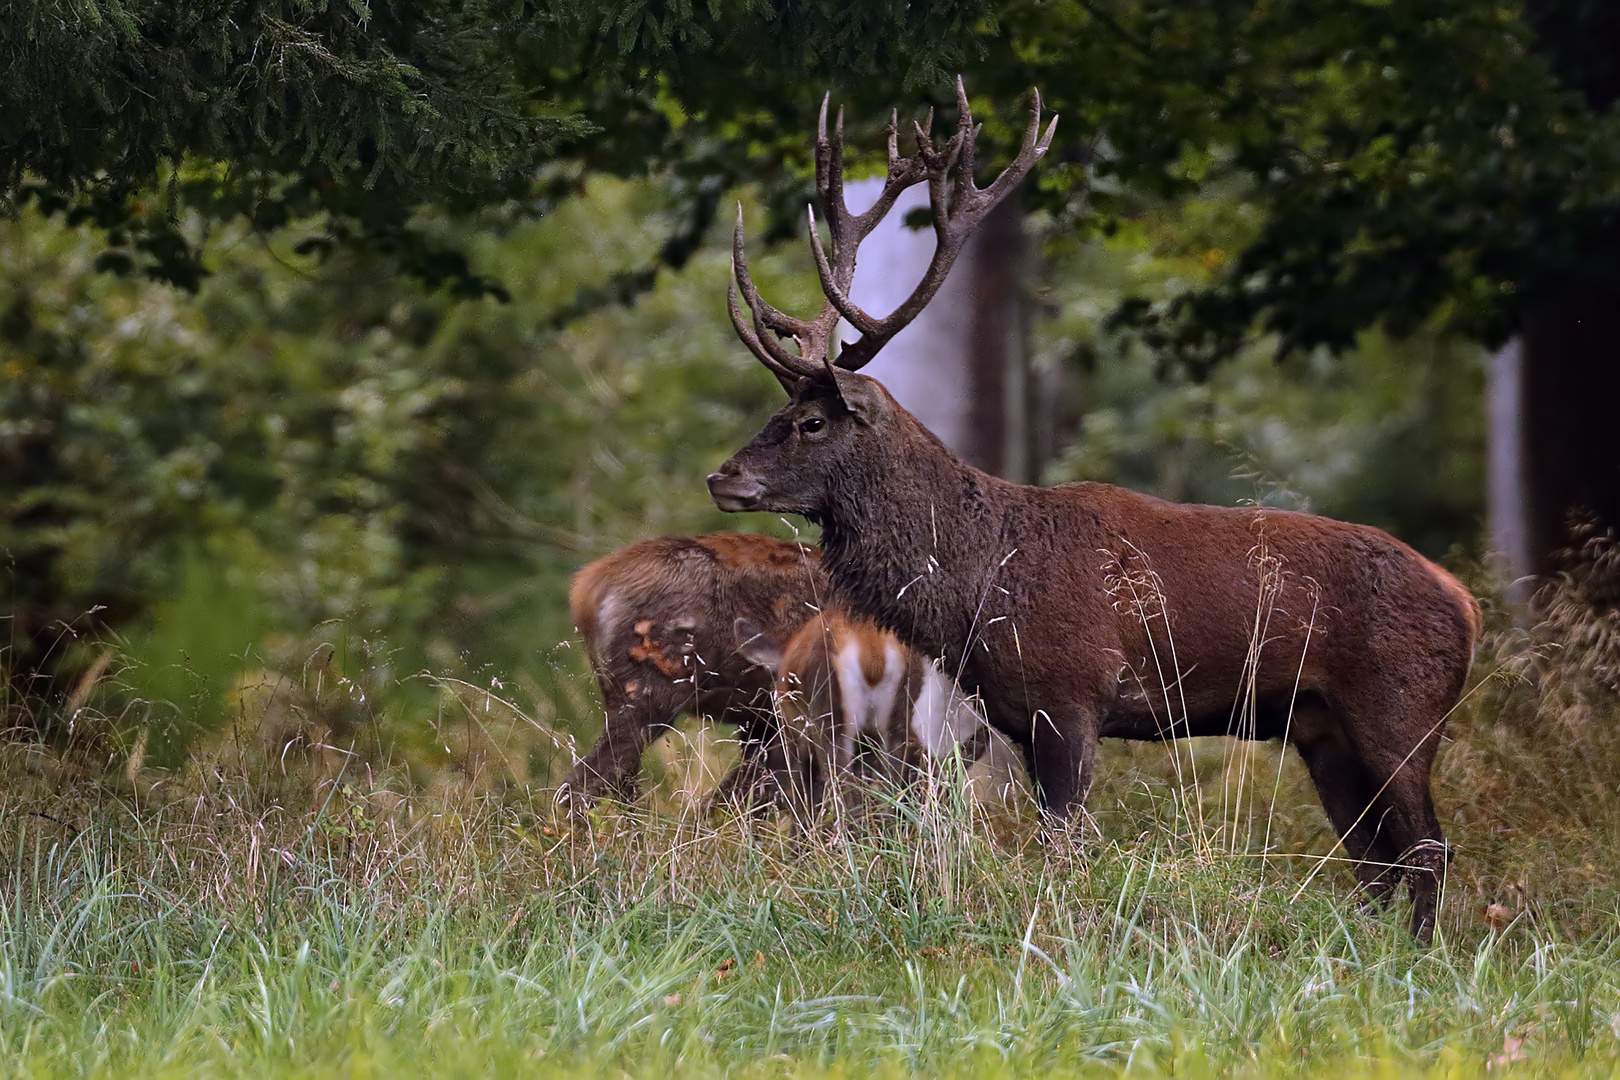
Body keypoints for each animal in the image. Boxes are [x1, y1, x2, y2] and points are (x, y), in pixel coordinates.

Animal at [735, 612, 984, 816]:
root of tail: (872, 651)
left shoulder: (797, 738)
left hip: (831, 719)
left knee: (844, 793)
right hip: (895, 720)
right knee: (894, 785)